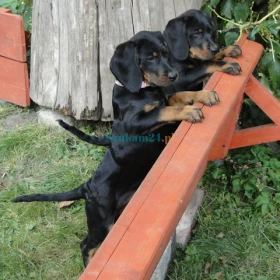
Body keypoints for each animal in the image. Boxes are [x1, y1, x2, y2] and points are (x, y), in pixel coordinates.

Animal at [12, 30, 219, 266]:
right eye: (151, 57)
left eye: (166, 53)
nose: (174, 75)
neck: (141, 90)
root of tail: (87, 186)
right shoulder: (134, 122)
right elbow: (165, 110)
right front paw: (189, 111)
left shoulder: (166, 98)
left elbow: (179, 95)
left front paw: (204, 95)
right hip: (102, 220)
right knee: (86, 245)